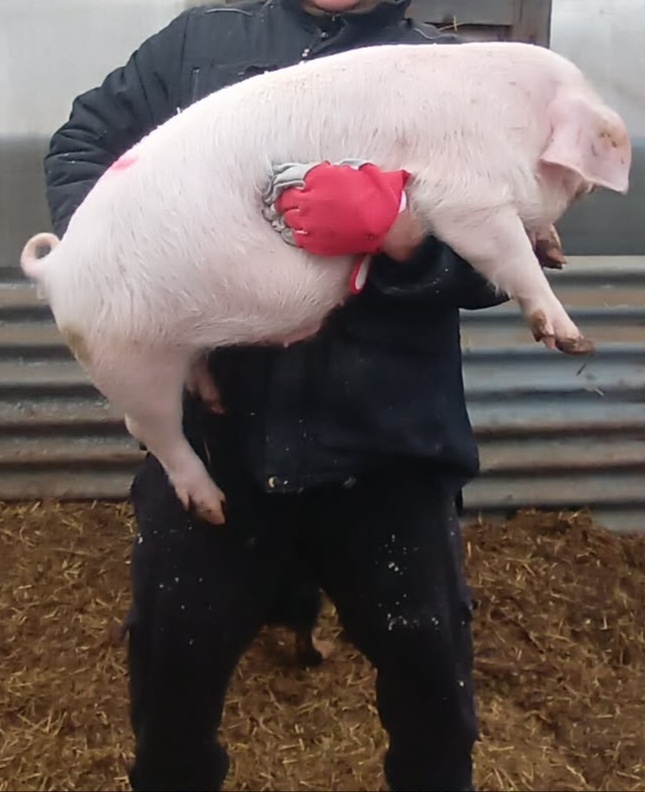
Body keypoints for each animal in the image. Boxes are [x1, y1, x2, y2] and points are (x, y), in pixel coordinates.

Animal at [20, 41, 631, 526]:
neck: (513, 120)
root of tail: (56, 267)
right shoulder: (463, 197)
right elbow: (508, 256)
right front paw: (574, 340)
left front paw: (555, 252)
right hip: (125, 360)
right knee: (153, 427)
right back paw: (214, 509)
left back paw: (216, 403)